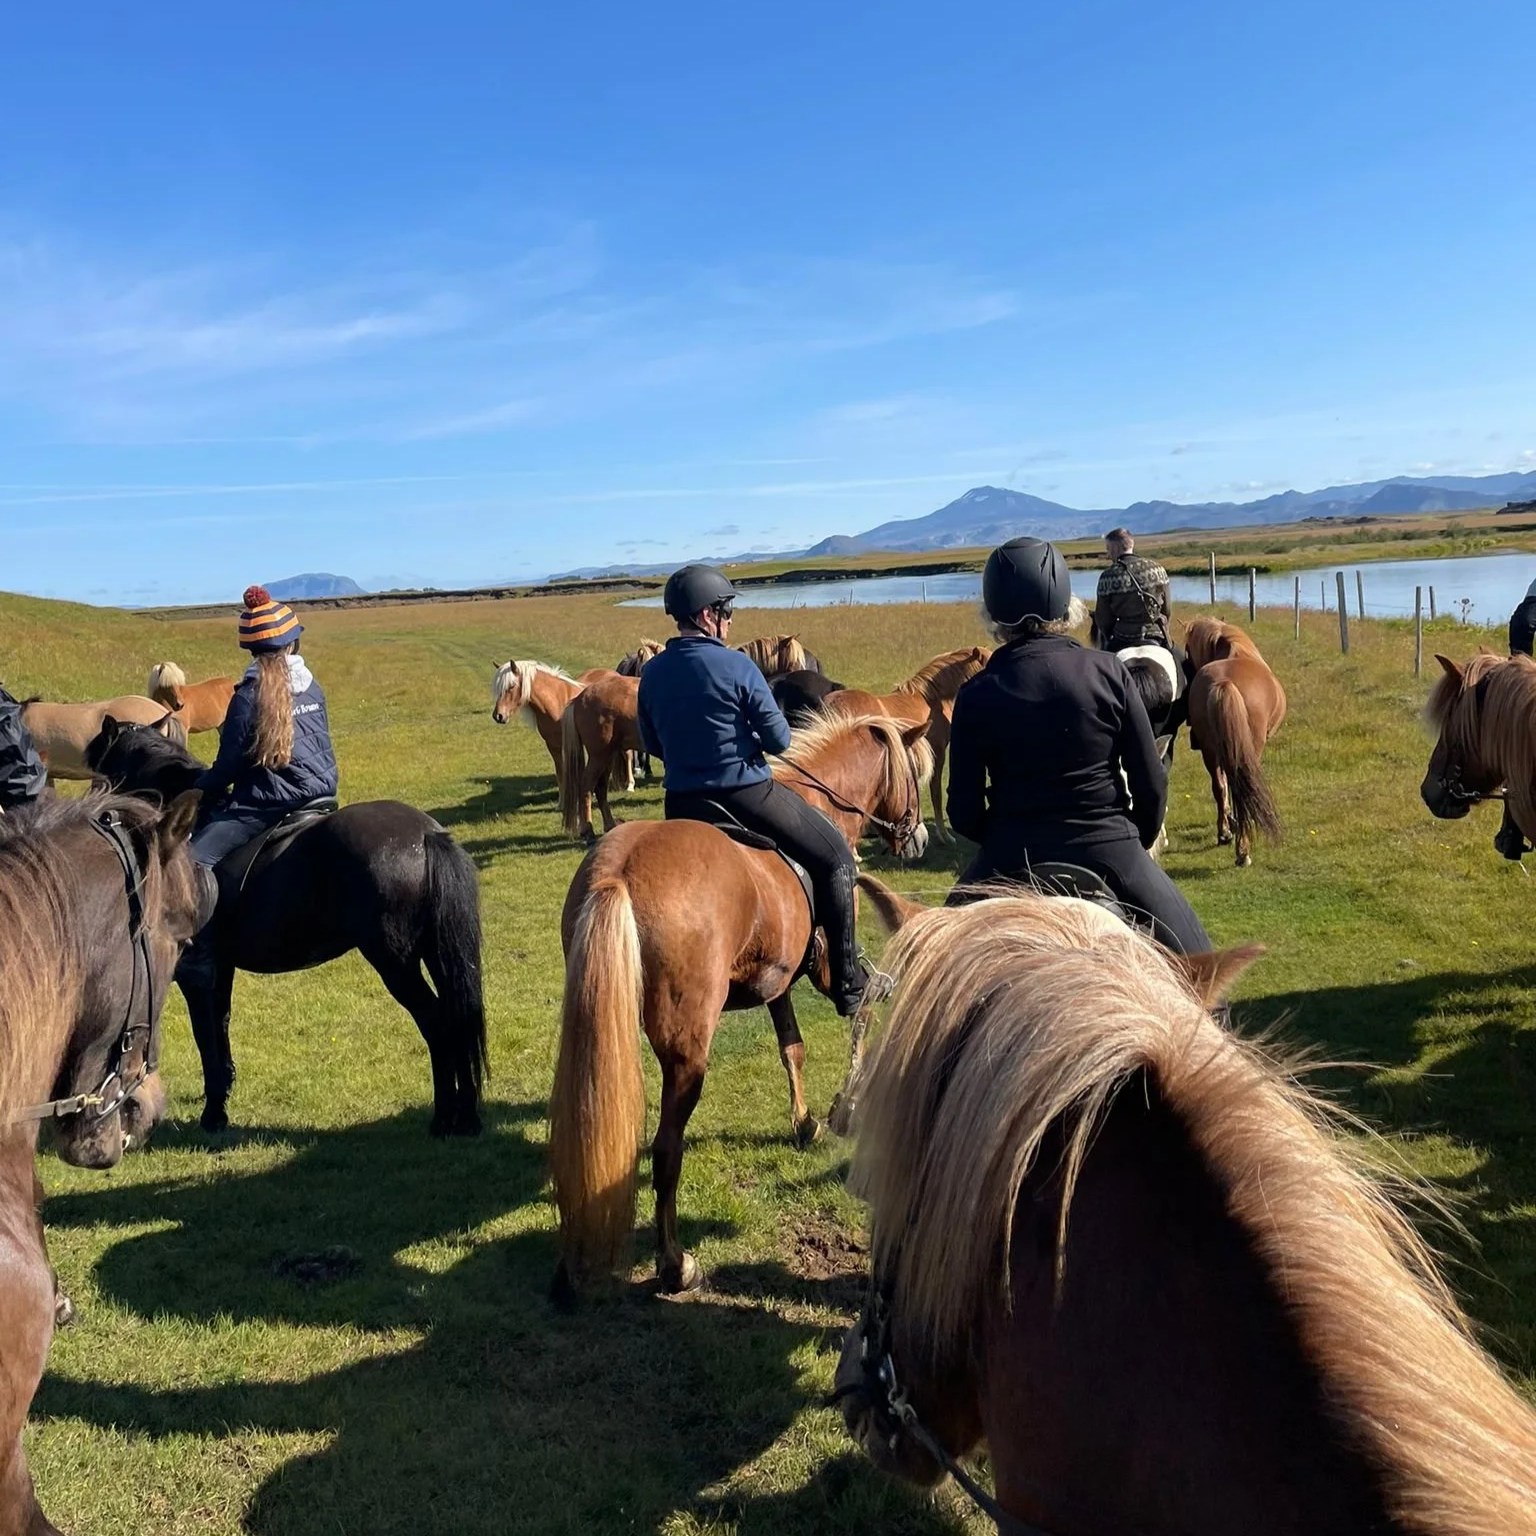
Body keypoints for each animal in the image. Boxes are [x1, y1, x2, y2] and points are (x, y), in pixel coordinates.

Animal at [84, 718, 488, 1138]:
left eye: (101, 775)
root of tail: (425, 834)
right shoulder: (220, 970)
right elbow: (220, 1028)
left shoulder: (196, 975)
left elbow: (205, 1038)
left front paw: (214, 1115)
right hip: (437, 954)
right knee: (458, 1018)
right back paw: (466, 1117)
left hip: (395, 962)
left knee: (437, 1024)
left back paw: (444, 1118)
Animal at [548, 713, 932, 1298]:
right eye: (915, 775)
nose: (918, 838)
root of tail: (622, 871)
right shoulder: (826, 967)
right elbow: (861, 1007)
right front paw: (845, 1106)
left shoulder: (776, 978)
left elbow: (792, 1047)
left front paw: (806, 1122)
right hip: (687, 1054)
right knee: (666, 1151)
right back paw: (674, 1263)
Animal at [557, 671, 644, 842]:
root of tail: (580, 698)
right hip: (599, 755)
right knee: (586, 785)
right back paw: (588, 829)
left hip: (608, 756)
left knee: (601, 787)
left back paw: (609, 824)